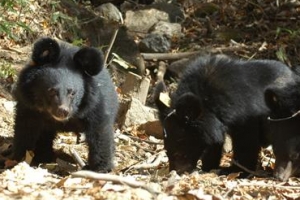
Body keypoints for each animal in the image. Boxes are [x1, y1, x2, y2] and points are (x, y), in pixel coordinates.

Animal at [12, 38, 118, 172]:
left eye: (72, 92)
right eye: (51, 91)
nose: (63, 111)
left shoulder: (95, 106)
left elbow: (99, 132)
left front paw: (101, 168)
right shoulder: (29, 105)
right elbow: (26, 128)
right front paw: (21, 157)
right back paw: (44, 156)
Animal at [156, 54, 300, 175]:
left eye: (179, 148)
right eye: (167, 149)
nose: (175, 171)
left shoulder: (246, 117)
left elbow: (246, 143)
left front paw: (235, 170)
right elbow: (214, 142)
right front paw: (209, 166)